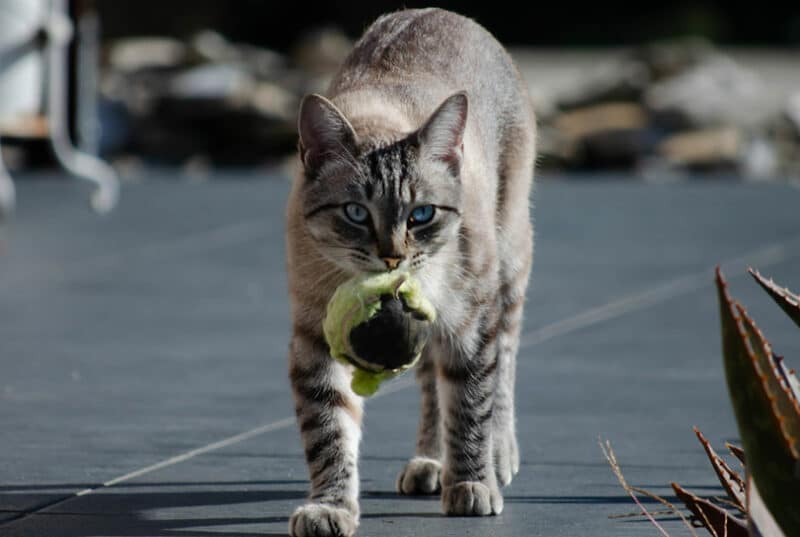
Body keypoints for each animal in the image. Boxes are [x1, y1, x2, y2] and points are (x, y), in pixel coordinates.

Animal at [284, 8, 536, 536]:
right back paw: (430, 463)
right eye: (355, 214)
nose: (392, 258)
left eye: (421, 215)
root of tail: (439, 12)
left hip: (507, 267)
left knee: (503, 365)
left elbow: (471, 402)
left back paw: (496, 458)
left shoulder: (470, 323)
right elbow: (329, 431)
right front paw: (331, 508)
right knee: (430, 388)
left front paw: (472, 484)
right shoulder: (314, 336)